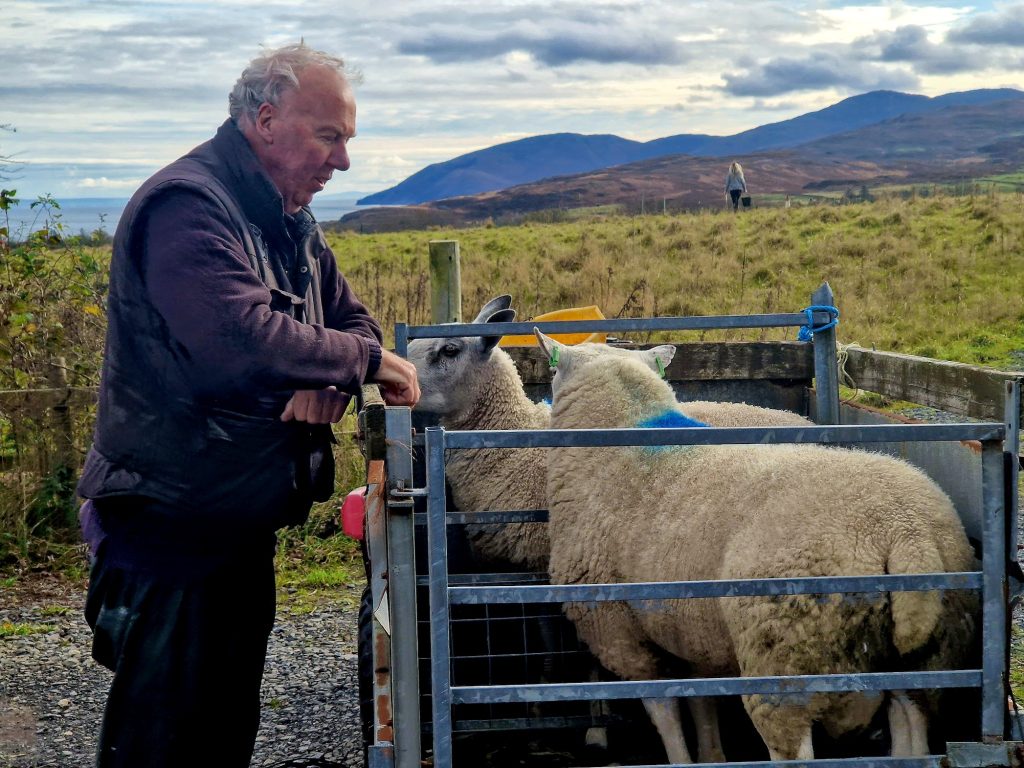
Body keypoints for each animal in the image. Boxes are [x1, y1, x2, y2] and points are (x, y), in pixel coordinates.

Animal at [536, 331, 974, 765]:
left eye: (553, 371)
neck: (619, 452)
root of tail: (903, 531)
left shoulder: (617, 629)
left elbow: (665, 714)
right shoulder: (692, 631)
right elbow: (701, 701)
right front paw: (712, 754)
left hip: (783, 652)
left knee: (791, 743)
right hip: (927, 654)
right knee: (912, 723)